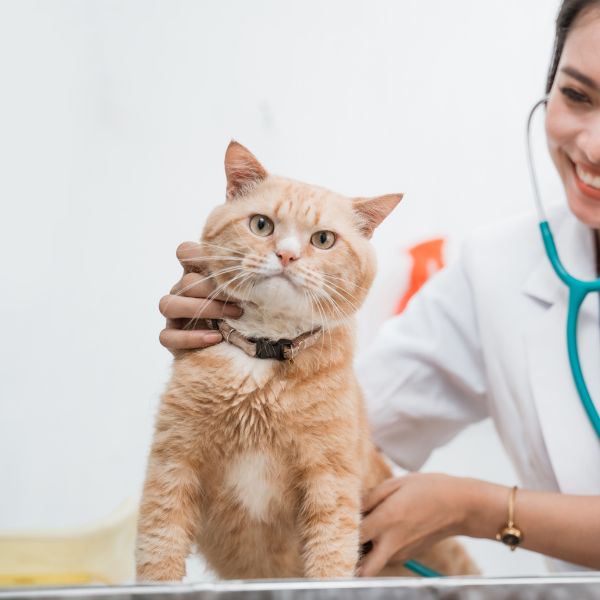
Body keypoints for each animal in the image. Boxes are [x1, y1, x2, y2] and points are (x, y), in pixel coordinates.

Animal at [136, 142, 478, 580]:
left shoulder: (330, 480)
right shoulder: (173, 464)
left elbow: (330, 558)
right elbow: (158, 551)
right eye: (261, 225)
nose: (287, 255)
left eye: (323, 239)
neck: (264, 354)